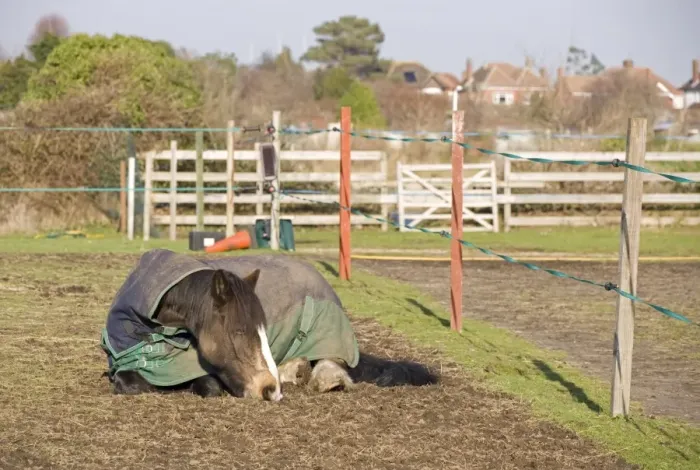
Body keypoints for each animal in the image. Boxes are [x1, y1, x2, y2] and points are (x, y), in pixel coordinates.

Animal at [100, 249, 437, 400]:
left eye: (263, 330)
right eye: (238, 332)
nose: (269, 388)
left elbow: (208, 387)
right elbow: (129, 382)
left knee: (334, 361)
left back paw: (323, 378)